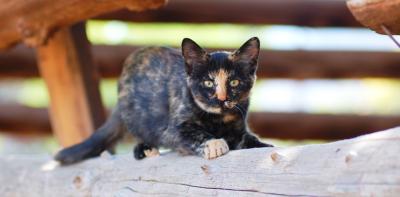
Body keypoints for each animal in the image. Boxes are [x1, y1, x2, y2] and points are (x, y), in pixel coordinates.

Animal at [54, 37, 274, 165]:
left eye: (234, 82)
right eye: (208, 82)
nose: (222, 98)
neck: (218, 119)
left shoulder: (239, 129)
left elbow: (249, 140)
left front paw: (264, 146)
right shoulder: (173, 130)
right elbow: (194, 133)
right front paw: (214, 144)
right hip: (136, 116)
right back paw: (145, 149)